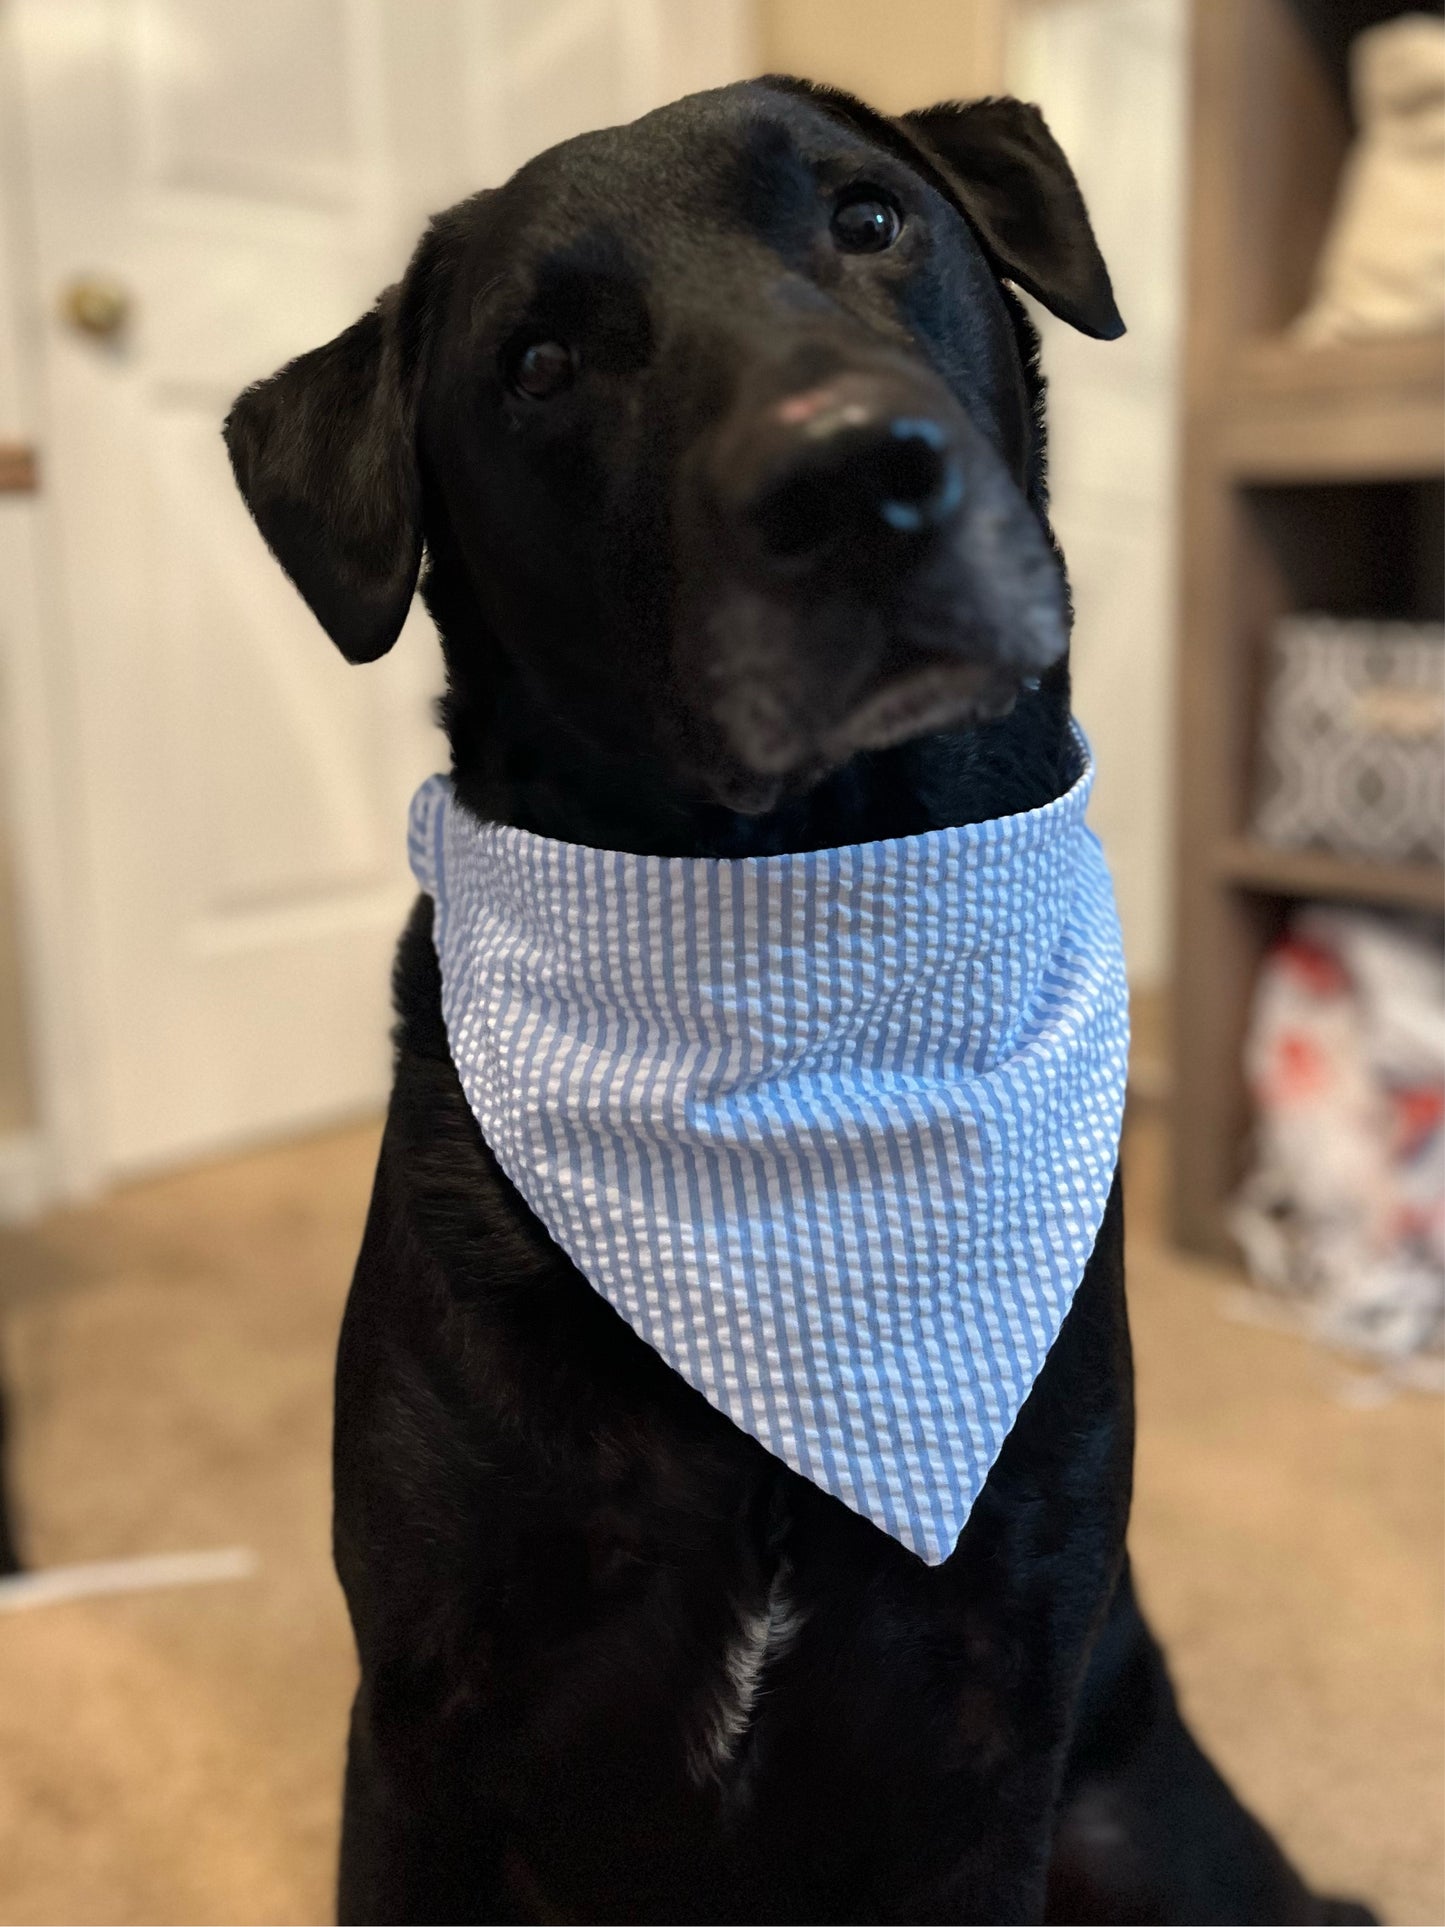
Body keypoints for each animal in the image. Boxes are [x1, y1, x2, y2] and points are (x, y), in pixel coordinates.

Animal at [229, 79, 1379, 1927]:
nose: (851, 477)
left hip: (1136, 1831)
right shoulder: (421, 1726)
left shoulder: (995, 1721)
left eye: (868, 218)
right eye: (539, 363)